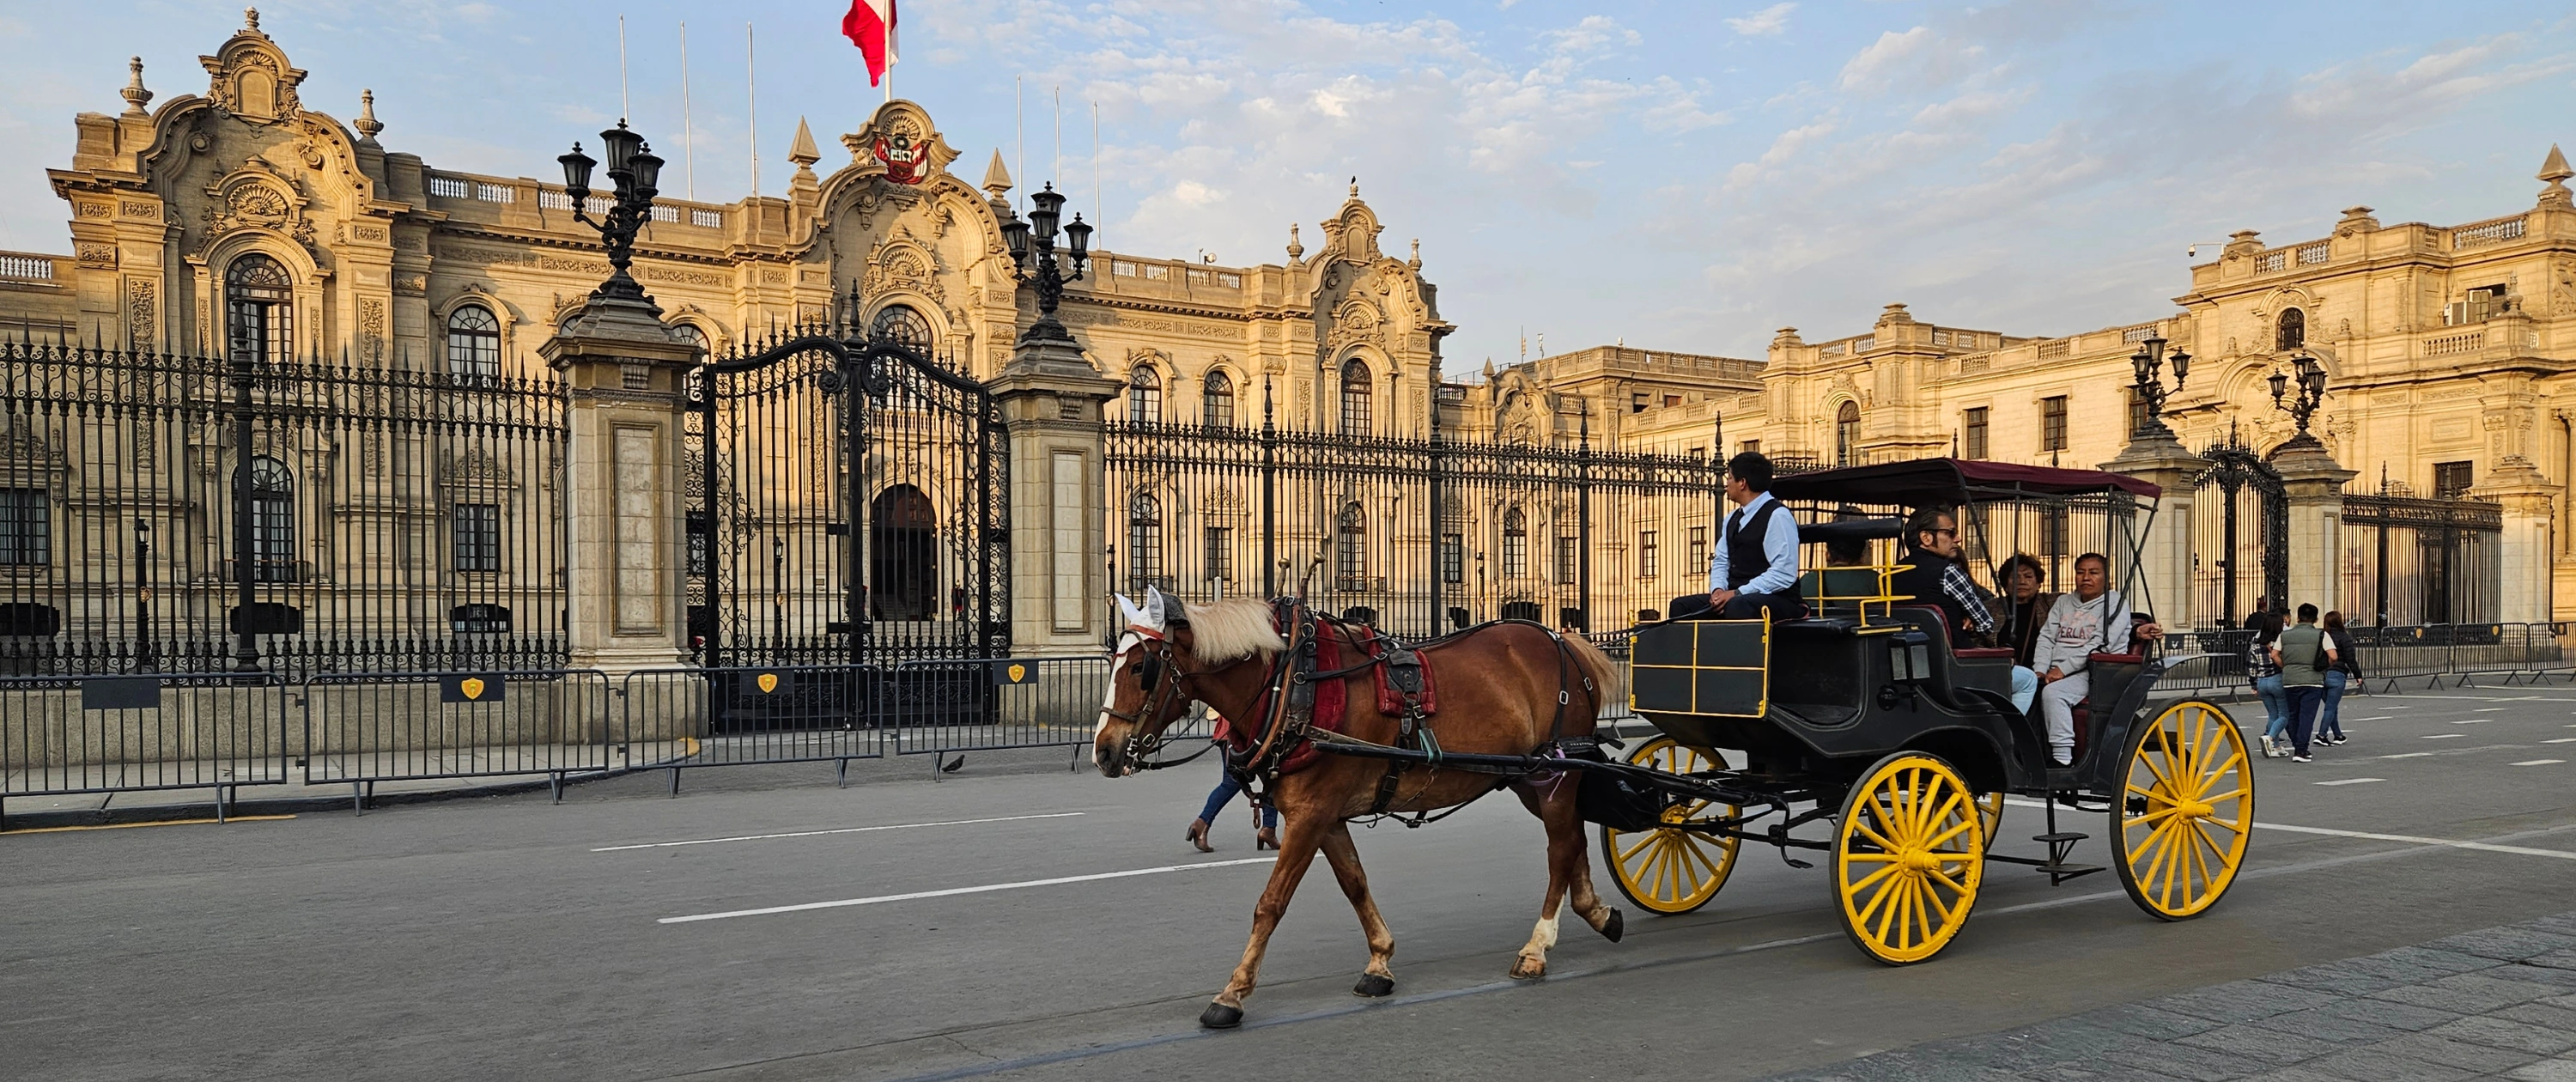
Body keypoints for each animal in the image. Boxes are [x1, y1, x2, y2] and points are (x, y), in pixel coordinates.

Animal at [1092, 587, 1627, 1029]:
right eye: (1114, 661)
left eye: (1141, 669)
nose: (1104, 751)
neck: (1293, 684)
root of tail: (1565, 641)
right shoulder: (1324, 818)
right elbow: (1354, 883)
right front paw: (1380, 962)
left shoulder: (1310, 816)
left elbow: (1271, 903)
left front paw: (1232, 993)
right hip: (1526, 780)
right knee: (1573, 839)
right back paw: (1598, 914)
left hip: (1555, 776)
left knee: (1560, 849)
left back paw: (1537, 947)